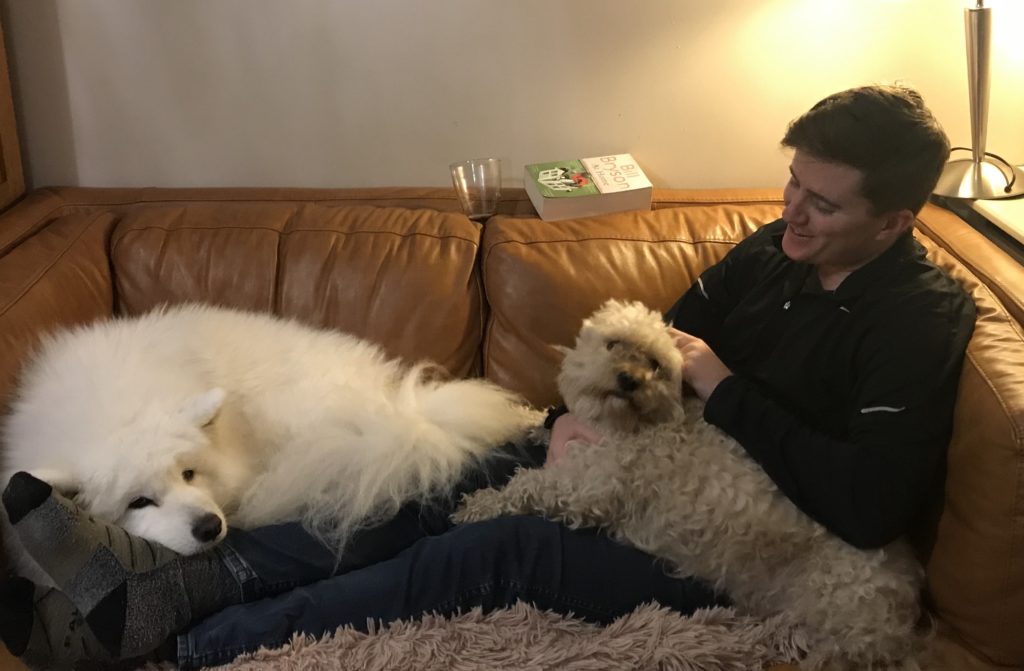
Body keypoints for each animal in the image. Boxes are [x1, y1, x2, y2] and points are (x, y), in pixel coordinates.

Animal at [452, 301, 925, 671]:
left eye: (656, 365)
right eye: (614, 344)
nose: (629, 379)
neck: (636, 423)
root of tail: (908, 603)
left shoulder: (589, 485)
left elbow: (526, 487)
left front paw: (477, 505)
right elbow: (536, 423)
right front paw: (518, 419)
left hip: (831, 615)